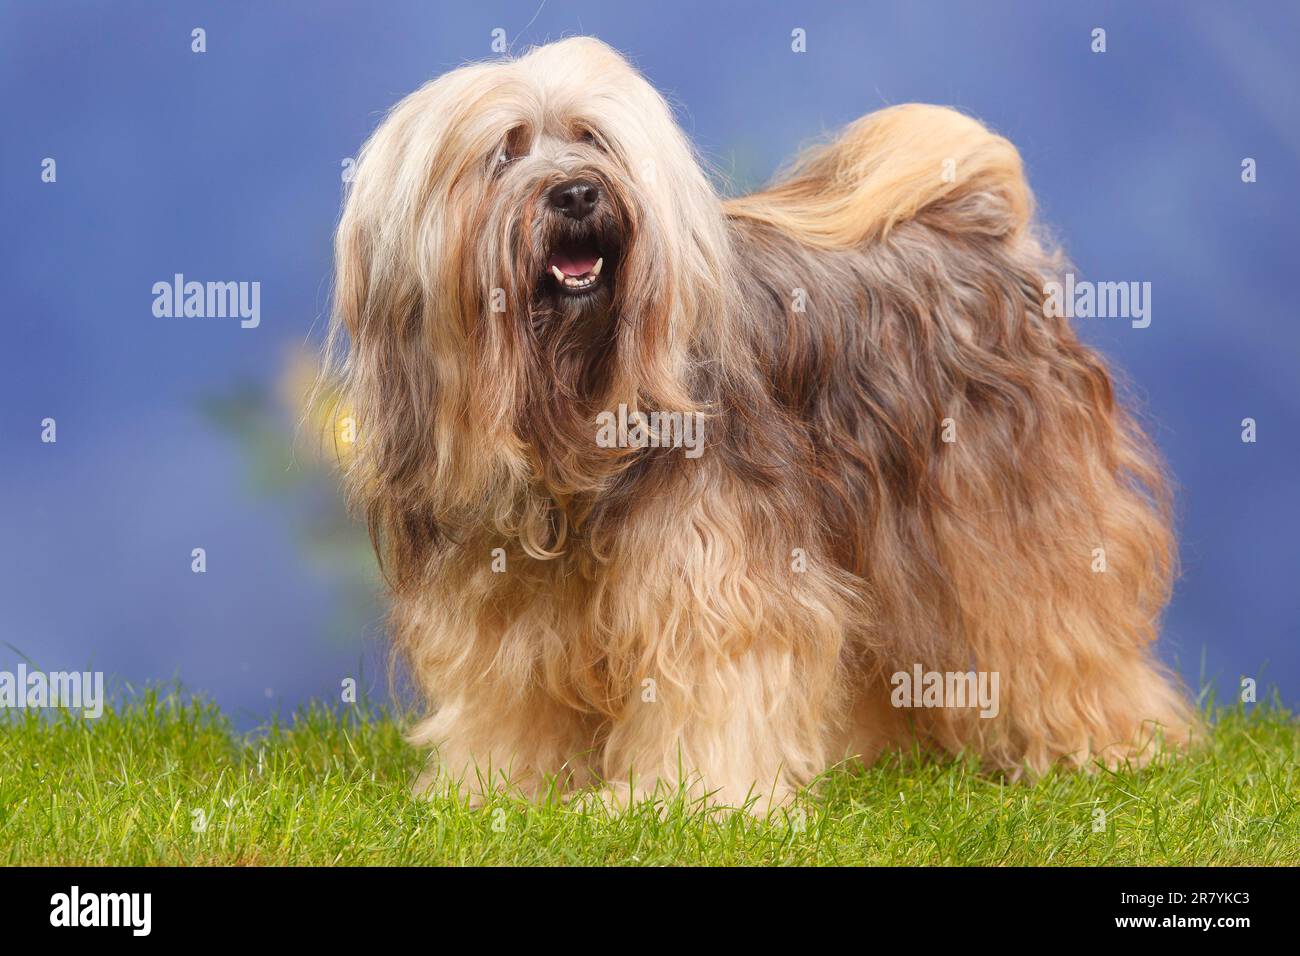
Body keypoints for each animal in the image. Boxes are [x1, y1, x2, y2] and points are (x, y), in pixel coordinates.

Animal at [325, 39, 1196, 816]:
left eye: (592, 139)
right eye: (501, 155)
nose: (575, 193)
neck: (570, 425)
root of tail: (973, 227)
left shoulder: (716, 573)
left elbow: (715, 678)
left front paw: (689, 801)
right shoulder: (496, 592)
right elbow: (509, 697)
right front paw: (497, 791)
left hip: (1018, 513)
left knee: (1059, 631)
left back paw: (1111, 744)